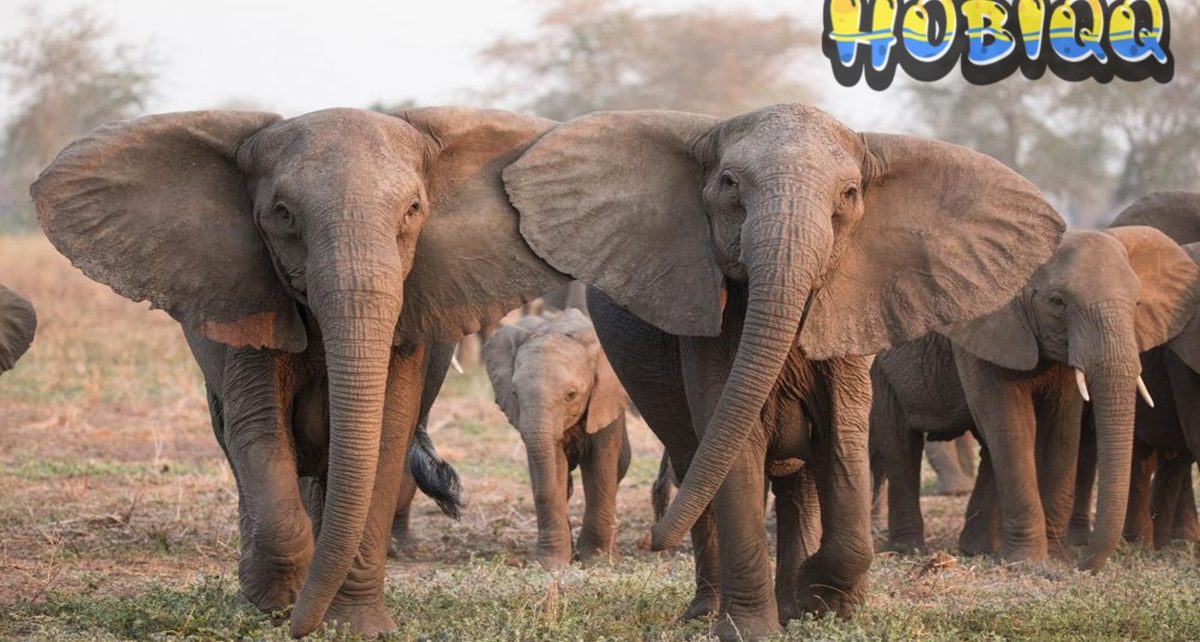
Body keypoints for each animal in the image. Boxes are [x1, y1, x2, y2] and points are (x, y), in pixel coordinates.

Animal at [30, 106, 568, 638]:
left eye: (413, 209)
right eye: (283, 213)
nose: (298, 629)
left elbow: (386, 437)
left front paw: (354, 626)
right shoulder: (250, 301)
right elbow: (259, 431)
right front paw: (271, 606)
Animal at [487, 312, 638, 568]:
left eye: (571, 395)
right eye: (515, 394)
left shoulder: (605, 401)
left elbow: (601, 469)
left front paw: (597, 560)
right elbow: (553, 469)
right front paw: (551, 564)